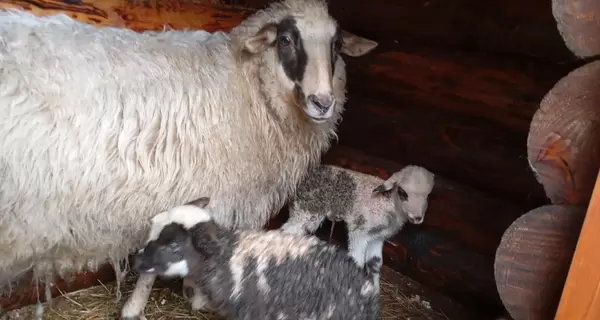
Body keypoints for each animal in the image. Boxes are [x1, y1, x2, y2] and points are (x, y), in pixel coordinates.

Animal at [278, 164, 434, 284]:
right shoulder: (360, 230)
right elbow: (357, 260)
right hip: (306, 210)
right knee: (287, 231)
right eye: (403, 192)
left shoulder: (377, 237)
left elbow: (375, 264)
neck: (388, 203)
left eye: (427, 196)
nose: (417, 218)